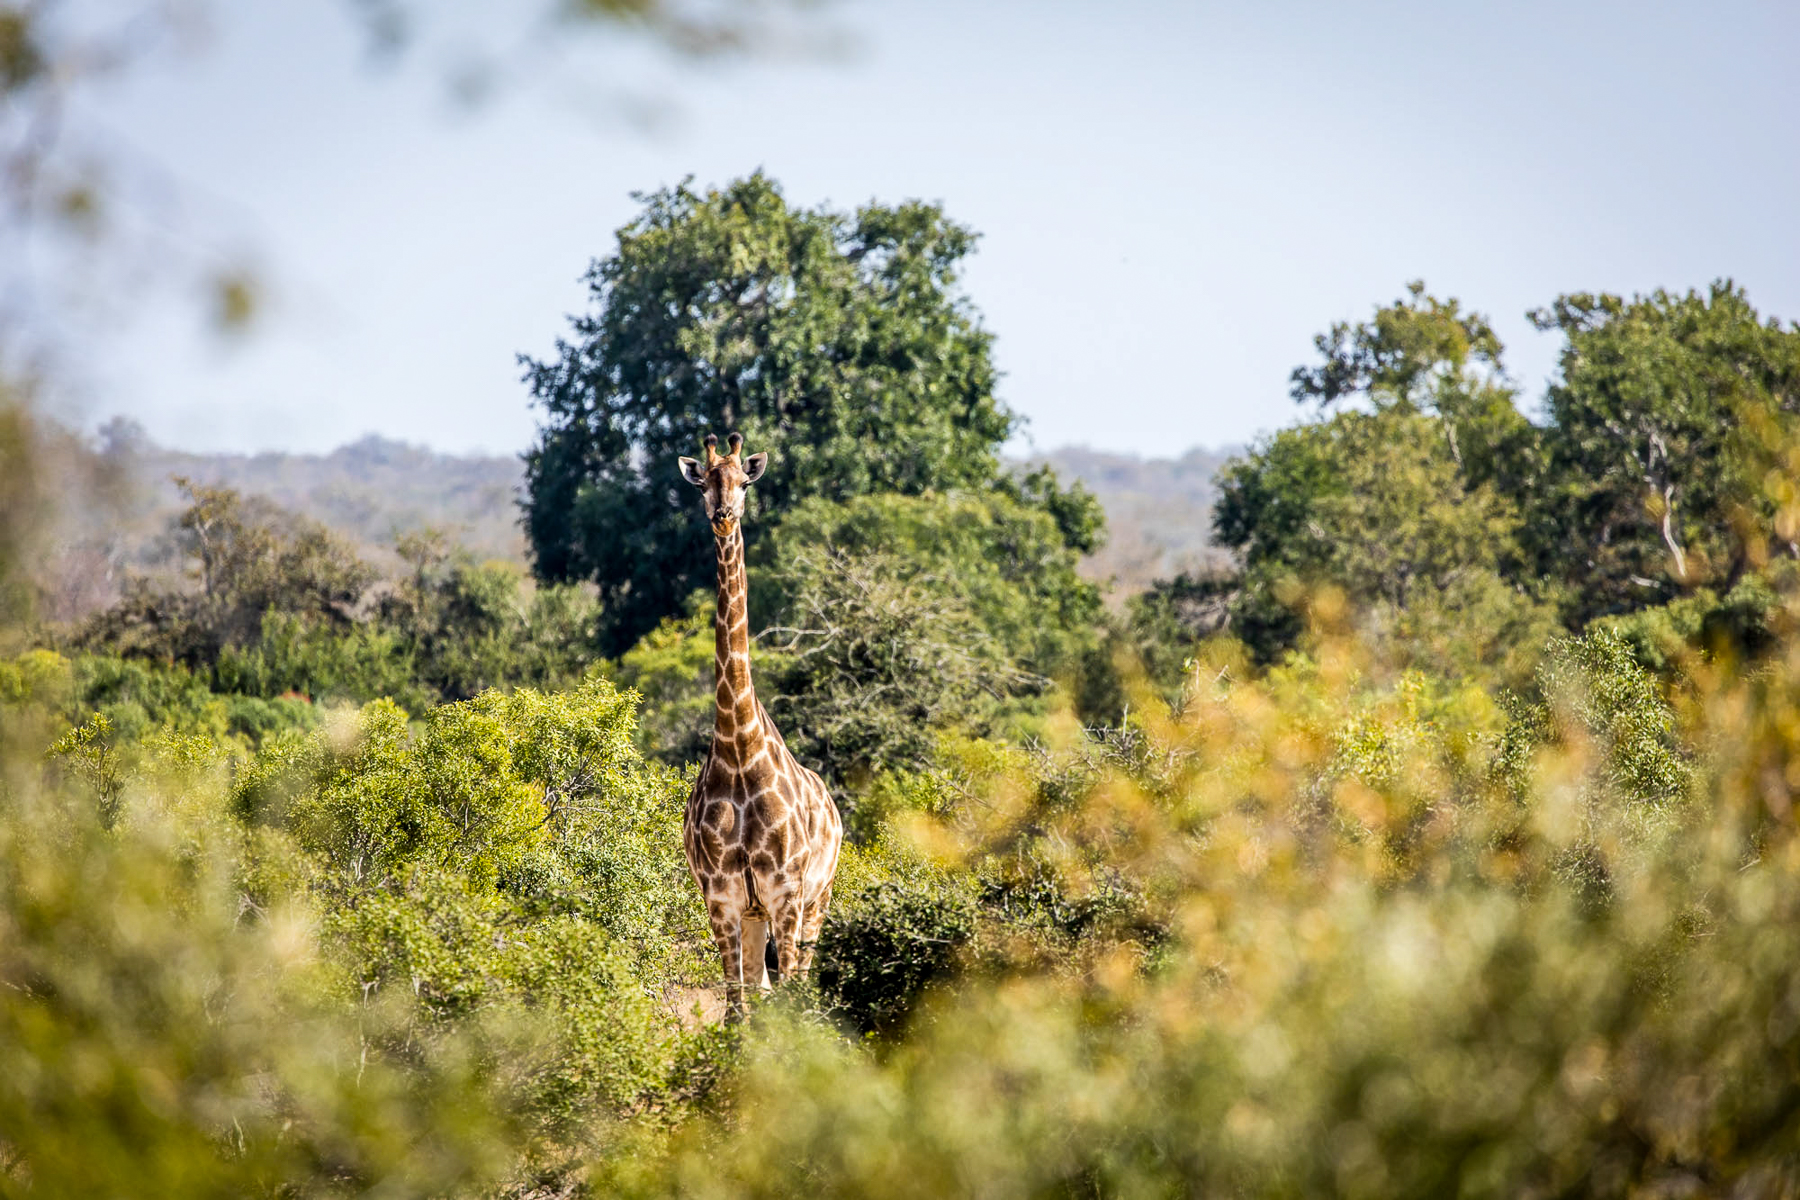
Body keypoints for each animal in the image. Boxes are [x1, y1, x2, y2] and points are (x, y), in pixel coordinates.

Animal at [677, 432, 842, 1016]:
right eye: (703, 482)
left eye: (745, 482)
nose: (723, 516)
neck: (738, 748)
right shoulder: (723, 897)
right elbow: (737, 1009)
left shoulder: (786, 893)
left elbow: (787, 997)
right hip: (755, 917)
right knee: (760, 990)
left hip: (818, 899)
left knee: (802, 985)